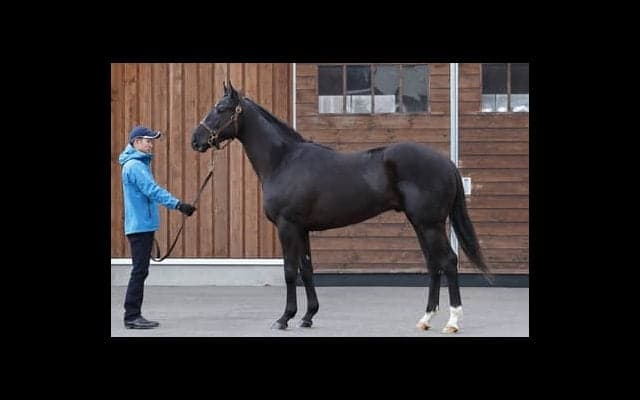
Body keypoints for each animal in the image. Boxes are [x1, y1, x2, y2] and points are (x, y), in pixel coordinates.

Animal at [191, 81, 493, 333]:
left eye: (220, 109)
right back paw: (426, 319)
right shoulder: (302, 229)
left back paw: (453, 322)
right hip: (420, 223)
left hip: (430, 224)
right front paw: (308, 316)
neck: (284, 160)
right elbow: (306, 269)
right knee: (434, 264)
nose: (195, 140)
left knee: (448, 261)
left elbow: (289, 271)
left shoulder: (288, 226)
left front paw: (284, 318)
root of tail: (446, 162)